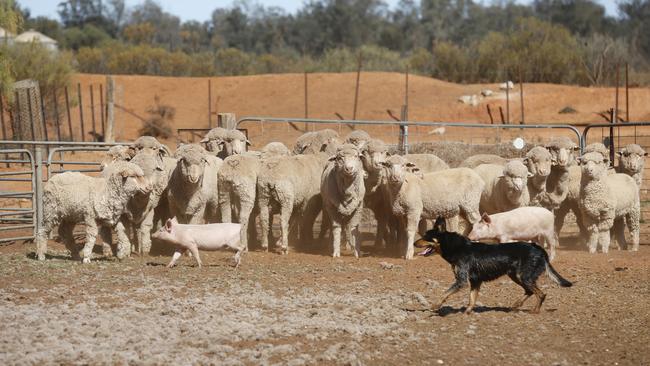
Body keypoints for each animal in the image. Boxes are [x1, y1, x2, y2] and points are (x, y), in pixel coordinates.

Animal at [412, 217, 568, 314]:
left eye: (426, 237)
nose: (413, 243)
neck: (456, 247)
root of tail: (538, 247)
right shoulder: (475, 281)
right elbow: (472, 299)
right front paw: (467, 313)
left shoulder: (461, 280)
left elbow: (445, 293)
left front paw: (435, 305)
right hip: (516, 276)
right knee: (530, 291)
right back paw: (515, 305)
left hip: (524, 276)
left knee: (541, 294)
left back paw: (534, 311)